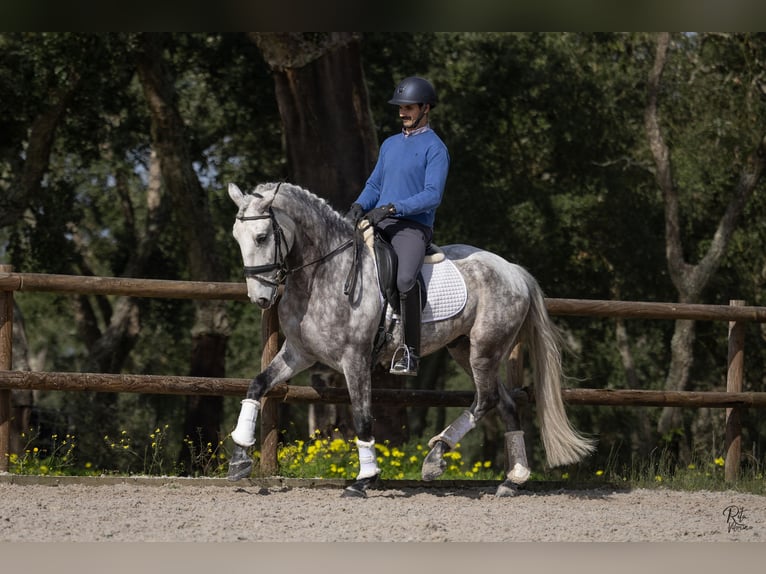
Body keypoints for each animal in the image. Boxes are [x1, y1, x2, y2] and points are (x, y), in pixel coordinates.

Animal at [226, 181, 595, 497]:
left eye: (261, 237)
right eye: (237, 238)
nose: (260, 298)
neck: (322, 274)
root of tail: (513, 269)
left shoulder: (355, 359)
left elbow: (362, 416)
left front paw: (365, 479)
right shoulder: (298, 353)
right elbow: (258, 385)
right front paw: (240, 457)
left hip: (485, 349)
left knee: (486, 399)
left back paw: (435, 458)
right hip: (465, 350)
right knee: (502, 401)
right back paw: (513, 479)